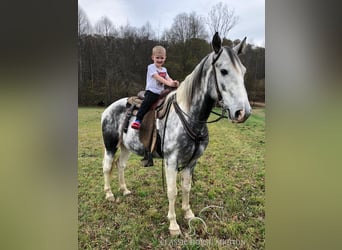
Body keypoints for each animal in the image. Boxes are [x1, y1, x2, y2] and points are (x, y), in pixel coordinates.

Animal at [100, 32, 250, 235]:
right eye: (224, 71)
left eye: (243, 71)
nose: (243, 112)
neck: (189, 116)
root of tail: (108, 108)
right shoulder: (171, 161)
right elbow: (172, 191)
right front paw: (173, 225)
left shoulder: (192, 161)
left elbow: (186, 188)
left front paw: (189, 214)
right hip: (110, 145)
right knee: (107, 166)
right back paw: (109, 194)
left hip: (126, 147)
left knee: (120, 165)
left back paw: (124, 190)